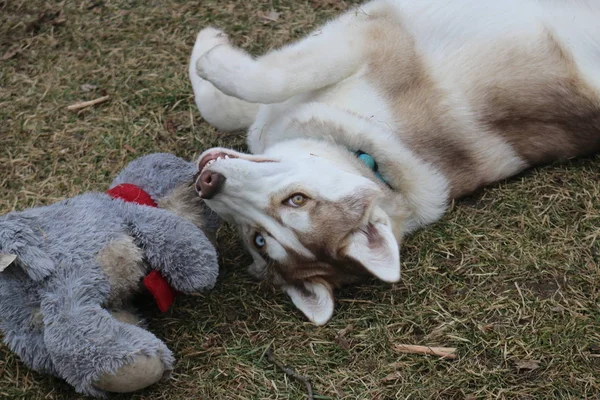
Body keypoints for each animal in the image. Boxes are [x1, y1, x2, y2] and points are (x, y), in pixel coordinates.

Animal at [189, 0, 600, 324]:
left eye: (297, 200)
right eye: (258, 240)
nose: (207, 183)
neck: (373, 157)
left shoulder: (368, 38)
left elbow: (266, 80)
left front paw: (209, 51)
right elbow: (228, 106)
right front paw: (208, 51)